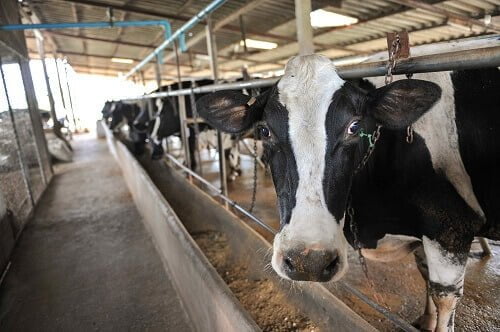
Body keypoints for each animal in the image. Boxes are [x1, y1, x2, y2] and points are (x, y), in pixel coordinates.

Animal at [198, 54, 500, 332]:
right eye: (264, 130)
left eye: (354, 127)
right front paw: (426, 320)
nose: (309, 261)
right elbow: (424, 273)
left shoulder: (451, 228)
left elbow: (444, 298)